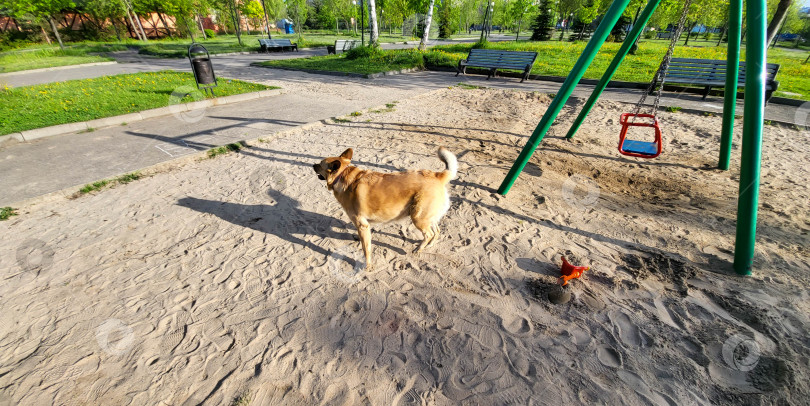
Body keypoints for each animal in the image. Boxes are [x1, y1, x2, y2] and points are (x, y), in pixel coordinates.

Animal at [314, 147, 458, 268]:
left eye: (320, 164)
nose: (313, 165)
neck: (342, 175)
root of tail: (437, 176)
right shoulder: (362, 226)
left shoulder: (362, 225)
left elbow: (366, 249)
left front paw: (367, 266)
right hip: (427, 216)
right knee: (436, 231)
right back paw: (430, 245)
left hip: (418, 218)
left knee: (429, 234)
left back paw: (419, 248)